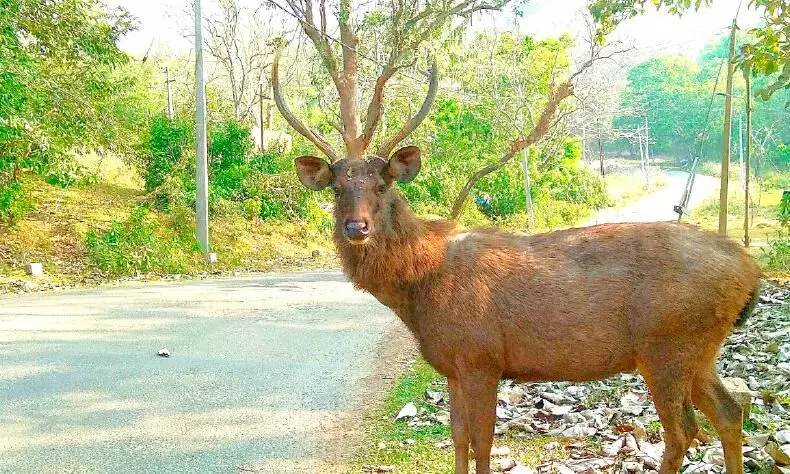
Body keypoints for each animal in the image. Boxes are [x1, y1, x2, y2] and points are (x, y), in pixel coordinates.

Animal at [270, 34, 760, 474]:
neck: (421, 285)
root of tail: (750, 269)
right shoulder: (453, 366)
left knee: (684, 431)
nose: (356, 227)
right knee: (730, 411)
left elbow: (483, 442)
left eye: (381, 185)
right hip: (699, 349)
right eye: (337, 188)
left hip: (667, 343)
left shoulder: (481, 356)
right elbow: (458, 438)